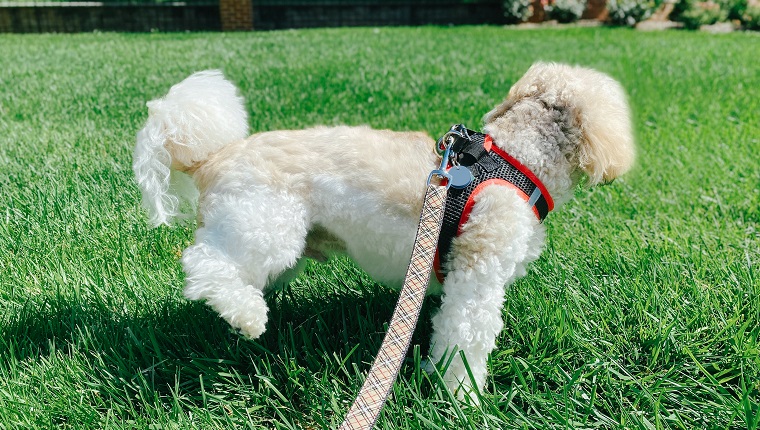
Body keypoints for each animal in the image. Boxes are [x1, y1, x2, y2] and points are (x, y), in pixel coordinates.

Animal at [132, 63, 636, 400]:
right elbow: (465, 338)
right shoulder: (477, 278)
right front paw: (462, 399)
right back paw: (249, 316)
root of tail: (210, 158)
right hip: (263, 228)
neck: (517, 160)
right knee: (203, 265)